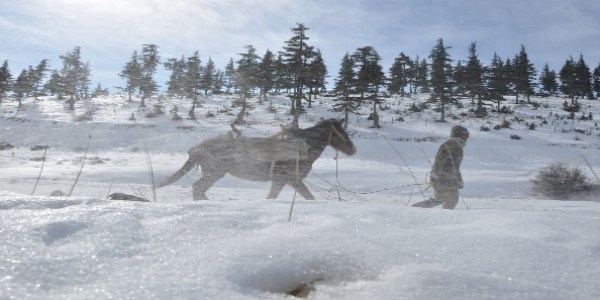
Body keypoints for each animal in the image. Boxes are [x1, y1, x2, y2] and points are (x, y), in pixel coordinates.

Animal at [157, 118, 358, 200]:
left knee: (198, 189)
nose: (352, 149)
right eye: (339, 132)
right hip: (215, 172)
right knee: (197, 188)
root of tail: (194, 149)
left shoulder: (288, 180)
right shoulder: (286, 179)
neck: (306, 148)